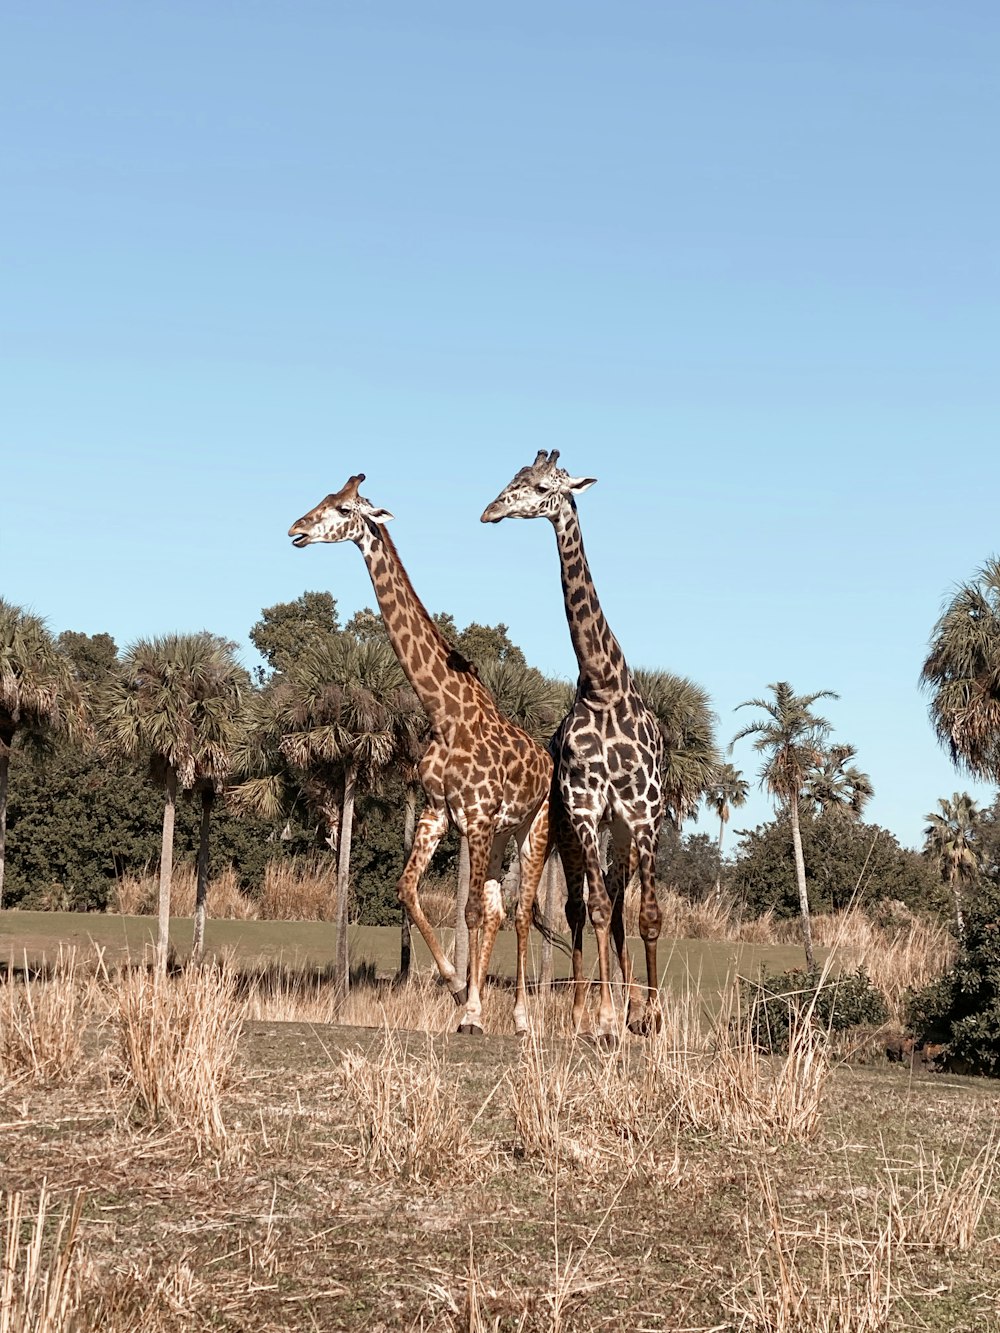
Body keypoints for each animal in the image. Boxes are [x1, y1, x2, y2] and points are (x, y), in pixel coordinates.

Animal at [289, 474, 557, 1034]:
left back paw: (522, 1018)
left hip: (533, 827)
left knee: (520, 912)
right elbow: (406, 889)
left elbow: (470, 912)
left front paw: (472, 1010)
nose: (295, 529)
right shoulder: (439, 813)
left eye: (342, 508)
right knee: (500, 908)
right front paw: (457, 989)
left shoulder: (475, 817)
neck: (444, 712)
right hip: (499, 835)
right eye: (322, 499)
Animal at [482, 453, 669, 1045]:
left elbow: (646, 914)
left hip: (621, 834)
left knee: (614, 908)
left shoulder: (642, 814)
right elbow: (599, 908)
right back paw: (584, 1012)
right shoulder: (585, 809)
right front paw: (607, 1020)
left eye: (543, 486)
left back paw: (631, 1010)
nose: (490, 511)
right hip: (568, 830)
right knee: (578, 907)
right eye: (511, 482)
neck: (604, 686)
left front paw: (651, 1017)